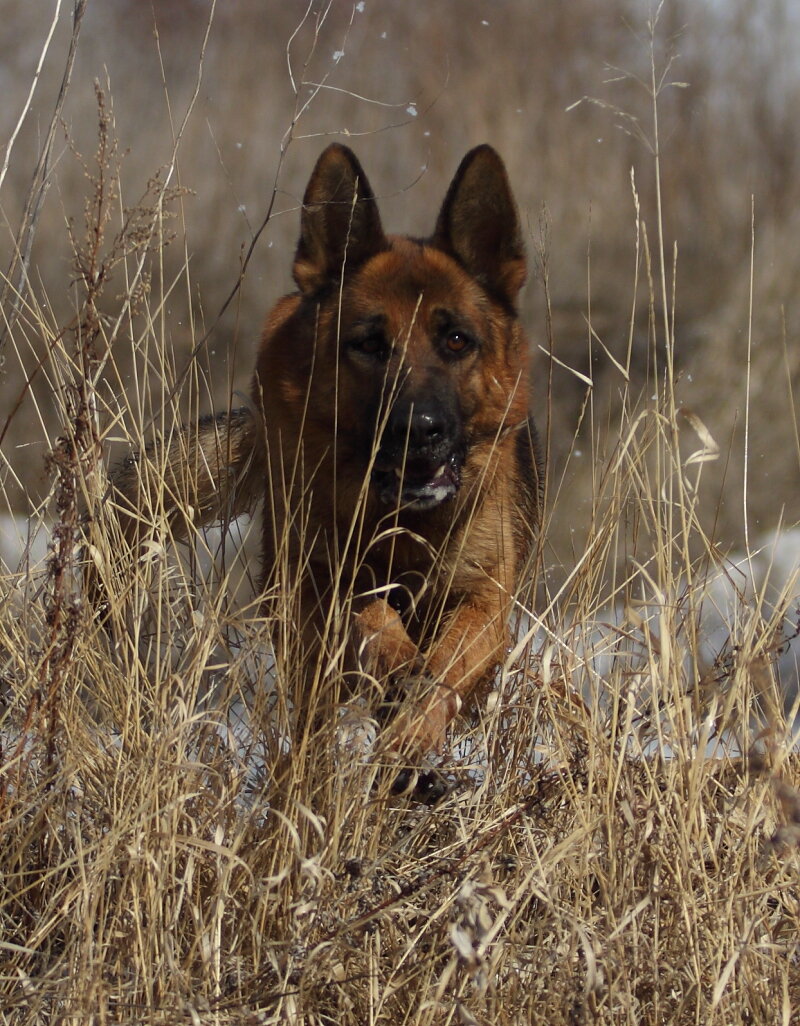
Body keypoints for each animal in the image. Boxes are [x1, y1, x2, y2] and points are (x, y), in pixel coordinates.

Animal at [104, 142, 545, 783]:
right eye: (369, 345)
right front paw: (397, 666)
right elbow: (374, 619)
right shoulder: (319, 581)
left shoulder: (483, 604)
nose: (421, 431)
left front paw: (411, 734)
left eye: (457, 340)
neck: (403, 526)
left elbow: (439, 676)